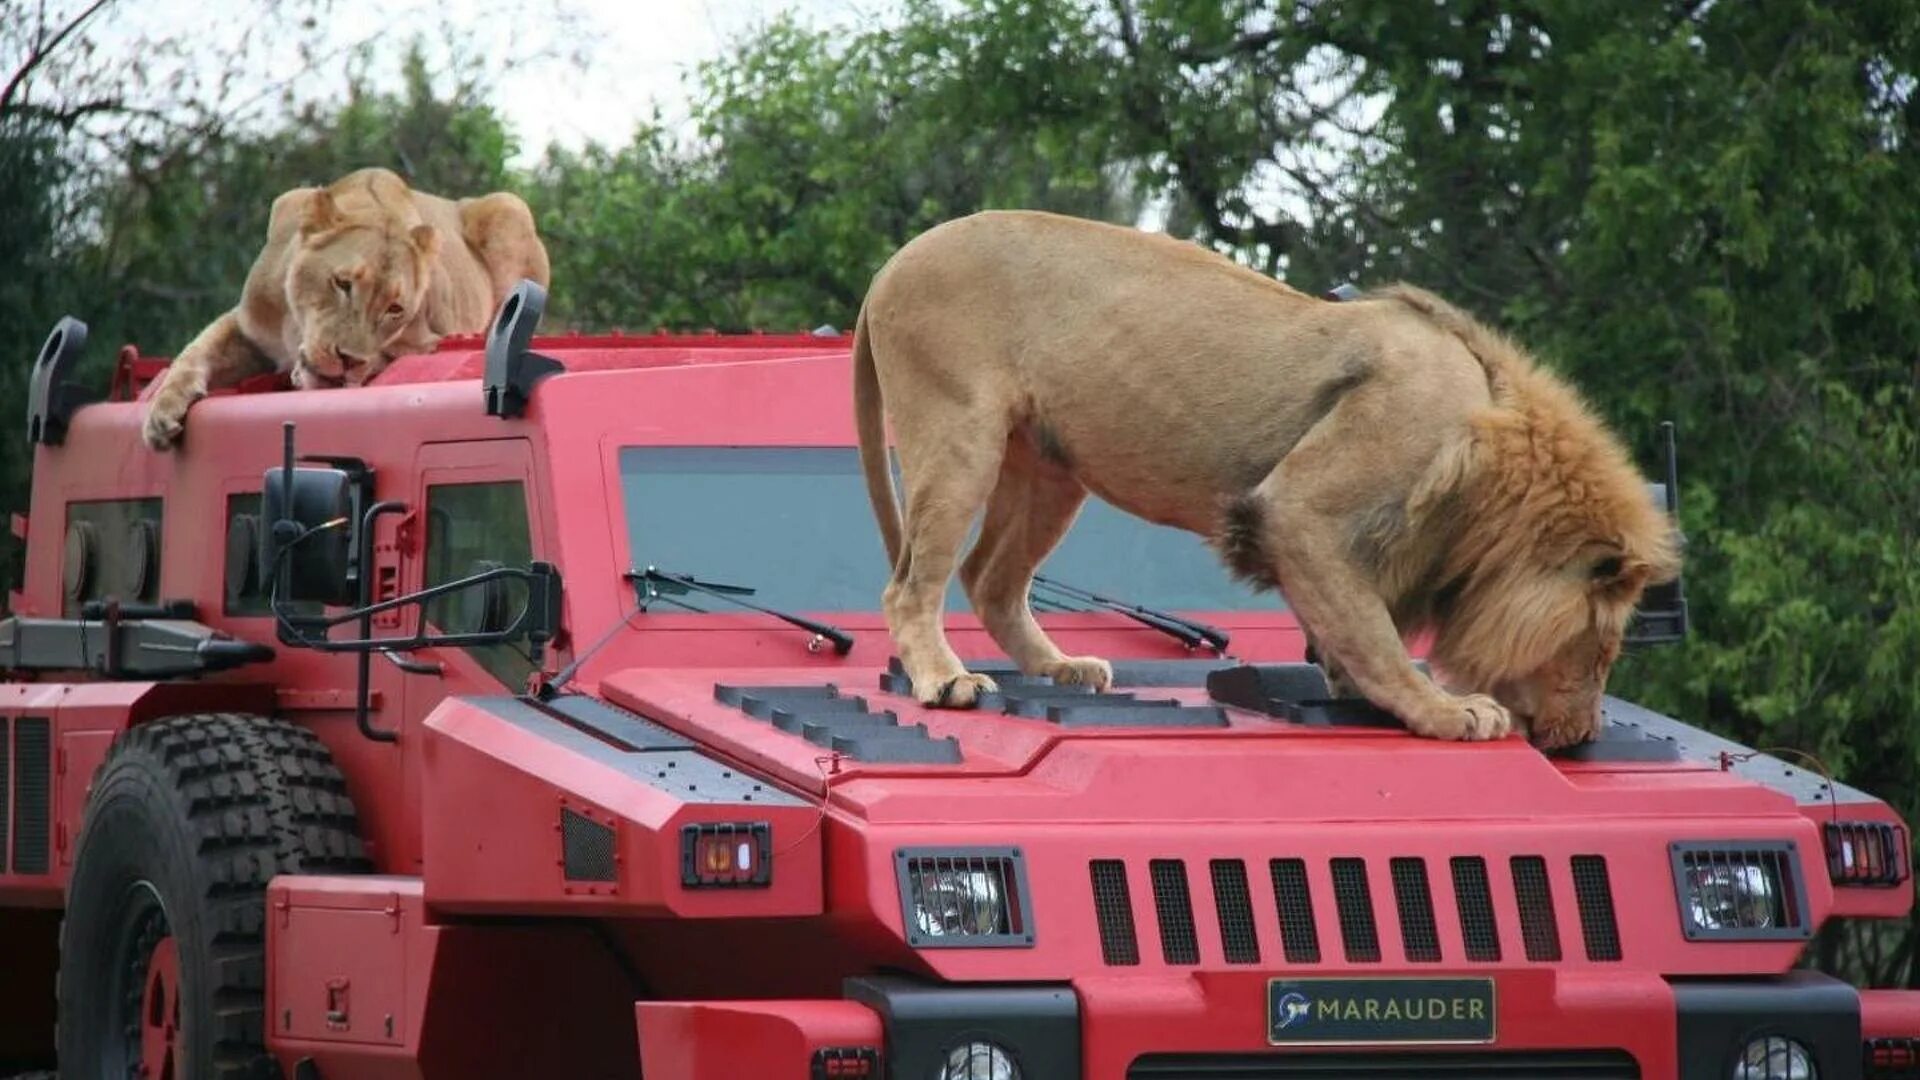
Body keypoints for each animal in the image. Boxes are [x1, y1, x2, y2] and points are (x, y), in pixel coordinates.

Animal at [140, 166, 549, 443]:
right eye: (342, 283)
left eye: (395, 309)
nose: (346, 359)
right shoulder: (250, 324)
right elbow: (196, 349)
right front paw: (161, 413)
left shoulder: (427, 339)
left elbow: (385, 358)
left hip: (510, 205)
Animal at [856, 211, 1681, 749]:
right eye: (1600, 651)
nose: (1583, 736)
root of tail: (889, 266)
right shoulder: (1301, 512)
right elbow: (1377, 636)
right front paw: (1447, 711)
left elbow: (1349, 623)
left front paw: (1355, 687)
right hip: (958, 433)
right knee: (910, 585)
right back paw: (947, 680)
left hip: (1051, 468)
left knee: (988, 578)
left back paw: (1060, 669)